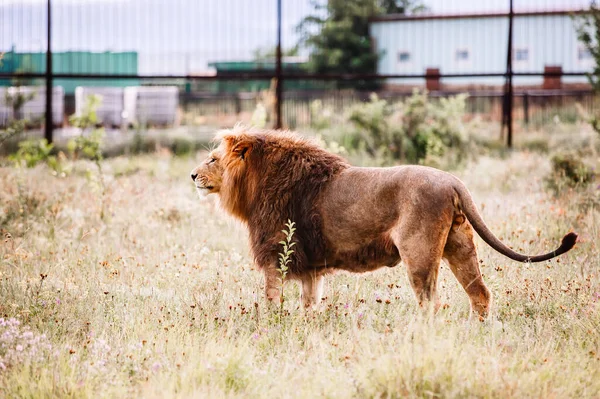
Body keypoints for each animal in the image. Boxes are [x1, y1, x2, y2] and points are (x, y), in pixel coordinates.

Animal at [191, 126, 576, 318]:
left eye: (212, 159)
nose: (192, 175)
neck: (257, 183)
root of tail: (454, 181)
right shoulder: (311, 268)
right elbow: (310, 305)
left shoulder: (276, 256)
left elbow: (272, 300)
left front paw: (271, 326)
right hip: (460, 244)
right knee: (480, 293)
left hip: (419, 252)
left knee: (430, 303)